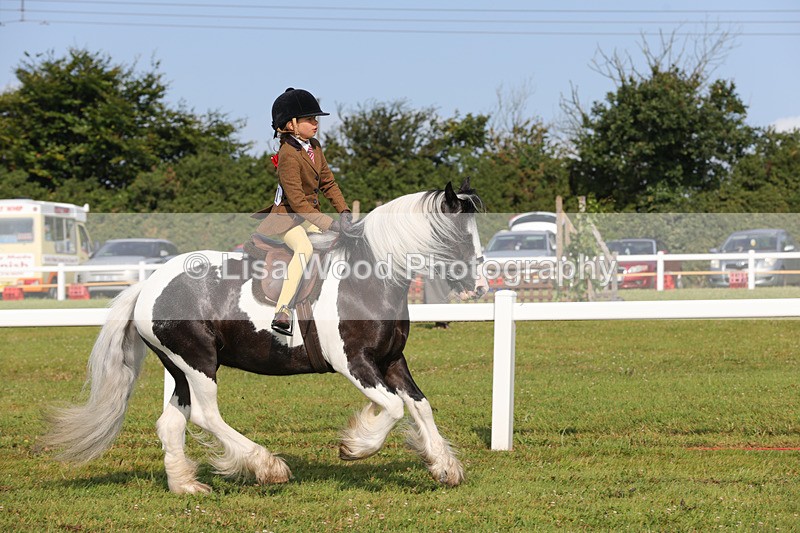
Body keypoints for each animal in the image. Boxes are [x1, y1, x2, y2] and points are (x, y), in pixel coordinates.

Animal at [44, 179, 488, 494]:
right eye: (458, 237)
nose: (482, 286)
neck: (369, 277)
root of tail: (147, 286)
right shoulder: (355, 364)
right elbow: (394, 408)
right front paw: (355, 446)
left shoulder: (392, 361)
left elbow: (420, 405)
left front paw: (443, 465)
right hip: (199, 362)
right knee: (206, 415)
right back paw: (266, 466)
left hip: (180, 368)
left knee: (172, 423)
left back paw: (186, 485)